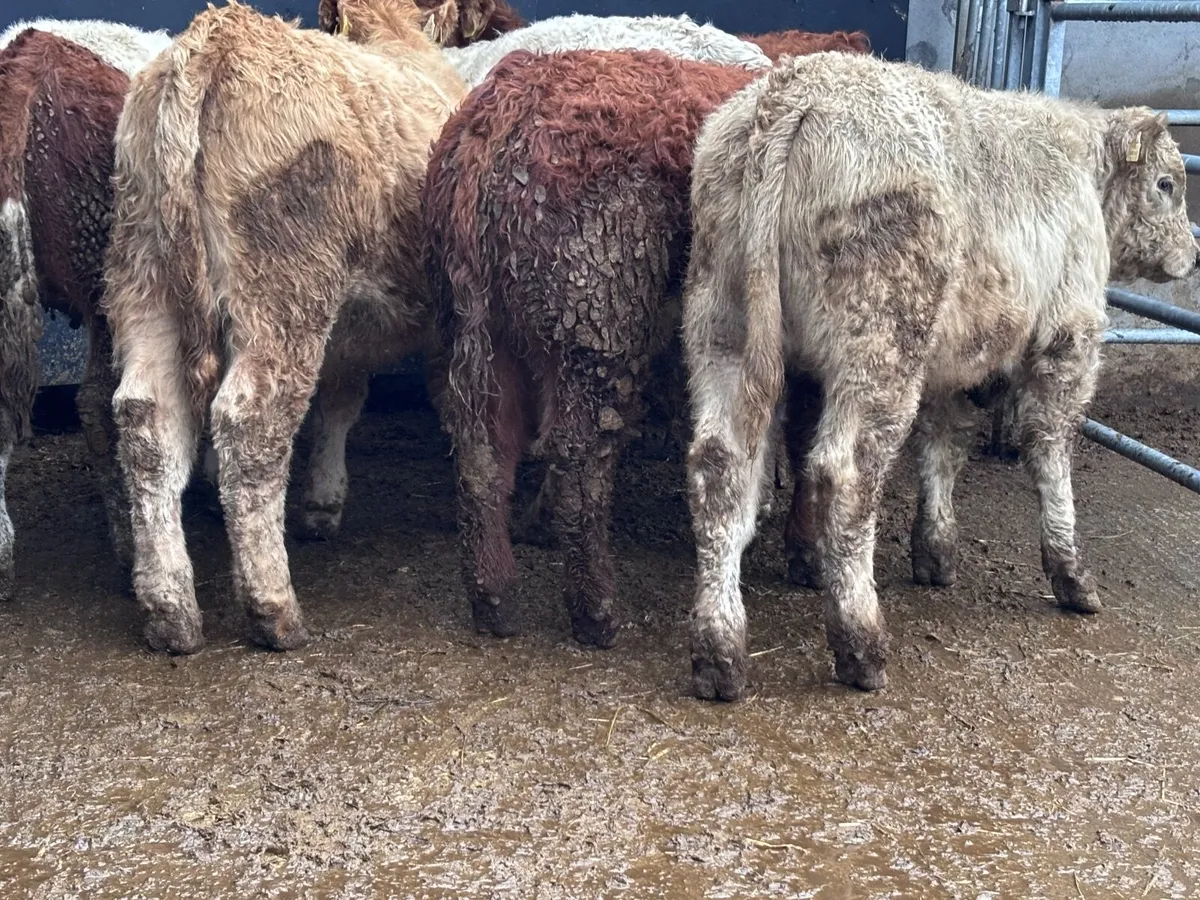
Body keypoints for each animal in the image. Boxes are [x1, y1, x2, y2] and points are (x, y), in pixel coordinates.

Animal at [681, 52, 1198, 700]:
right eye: (1166, 185)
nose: (1192, 256)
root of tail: (796, 91)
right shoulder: (1067, 337)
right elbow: (1049, 453)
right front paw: (1071, 572)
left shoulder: (955, 363)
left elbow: (943, 446)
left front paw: (934, 549)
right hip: (881, 347)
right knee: (844, 478)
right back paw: (861, 644)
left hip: (722, 330)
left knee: (719, 470)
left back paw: (718, 653)